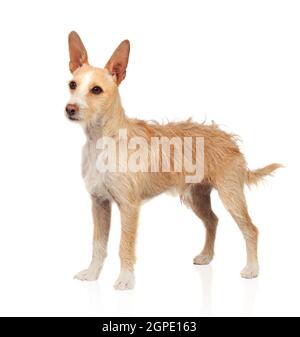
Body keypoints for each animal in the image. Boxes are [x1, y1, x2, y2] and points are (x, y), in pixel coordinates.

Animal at [65, 30, 282, 288]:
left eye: (96, 90)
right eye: (72, 84)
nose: (70, 109)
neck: (103, 138)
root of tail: (230, 140)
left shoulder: (129, 207)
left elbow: (124, 245)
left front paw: (126, 279)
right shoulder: (99, 203)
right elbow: (98, 244)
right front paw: (92, 274)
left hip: (231, 196)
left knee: (251, 229)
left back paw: (252, 268)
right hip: (196, 196)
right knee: (212, 221)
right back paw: (207, 256)